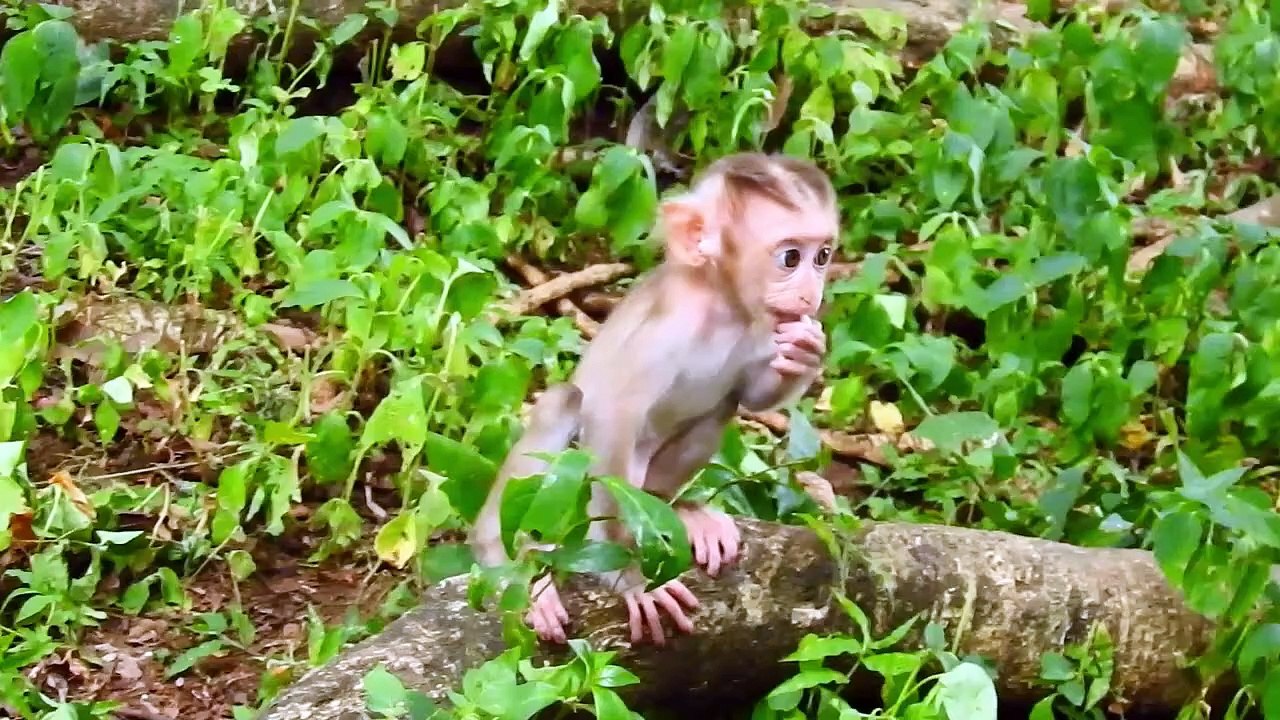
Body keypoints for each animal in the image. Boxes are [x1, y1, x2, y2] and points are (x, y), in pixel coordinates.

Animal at [469, 151, 838, 646]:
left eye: (823, 256)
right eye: (790, 257)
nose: (810, 294)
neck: (721, 307)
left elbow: (750, 395)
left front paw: (806, 353)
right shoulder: (661, 337)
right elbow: (612, 416)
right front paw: (627, 578)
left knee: (718, 408)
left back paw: (677, 508)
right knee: (567, 400)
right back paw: (512, 562)